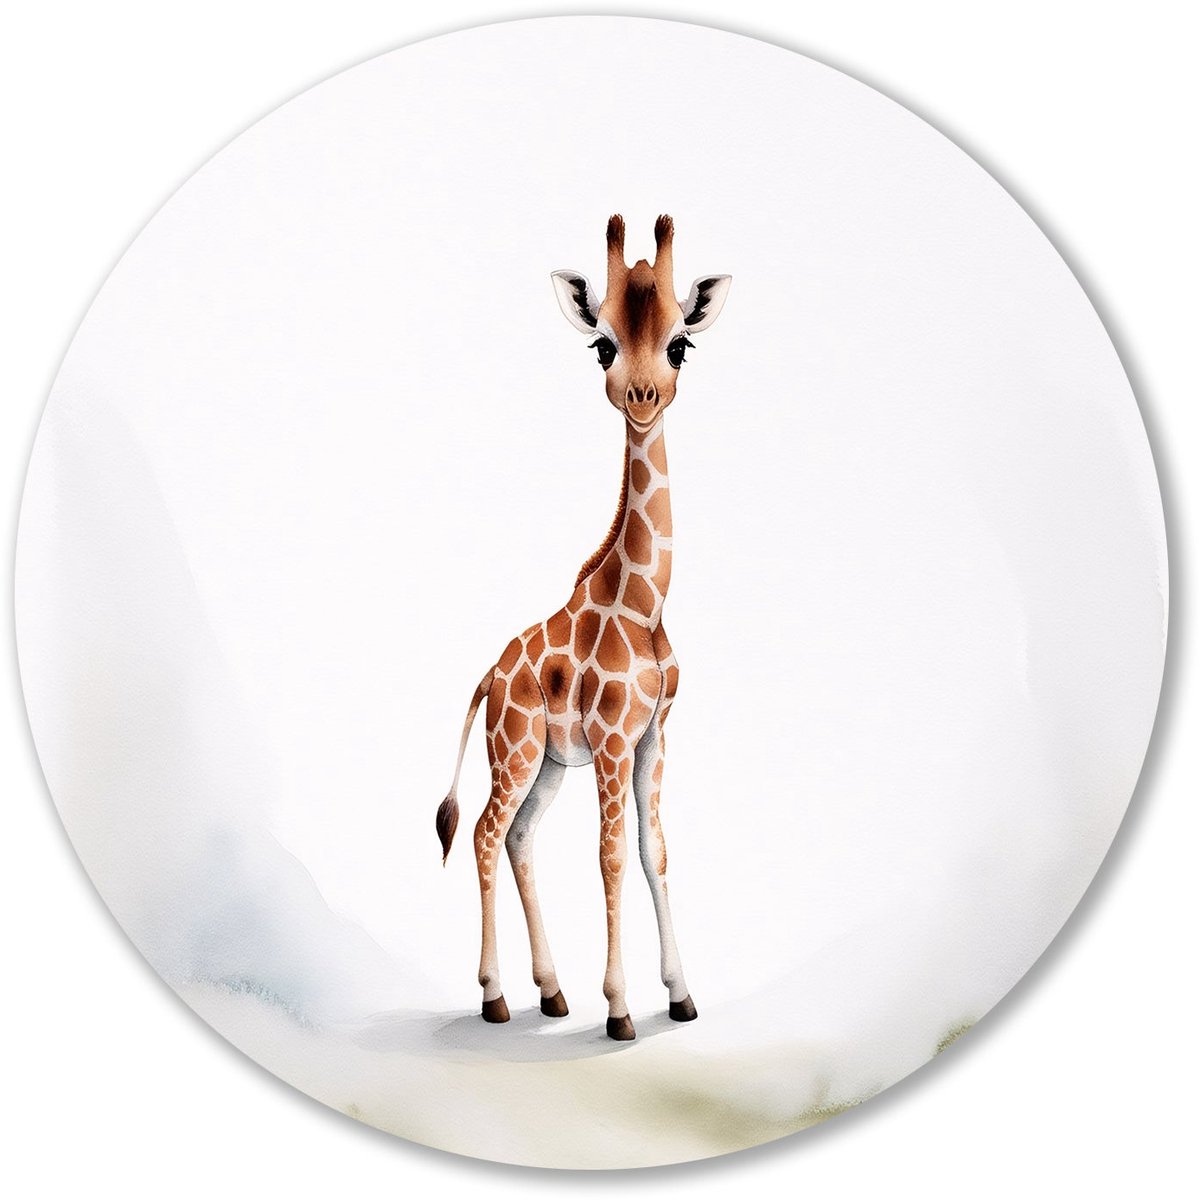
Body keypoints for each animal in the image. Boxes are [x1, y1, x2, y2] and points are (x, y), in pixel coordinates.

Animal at [435, 214, 731, 1040]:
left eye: (680, 343)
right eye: (601, 342)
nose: (642, 395)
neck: (646, 605)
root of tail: (487, 677)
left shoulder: (654, 735)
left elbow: (653, 851)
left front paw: (681, 995)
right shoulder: (611, 740)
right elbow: (610, 858)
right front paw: (622, 1008)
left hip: (545, 763)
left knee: (519, 836)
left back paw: (551, 992)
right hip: (516, 751)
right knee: (484, 832)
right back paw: (497, 996)